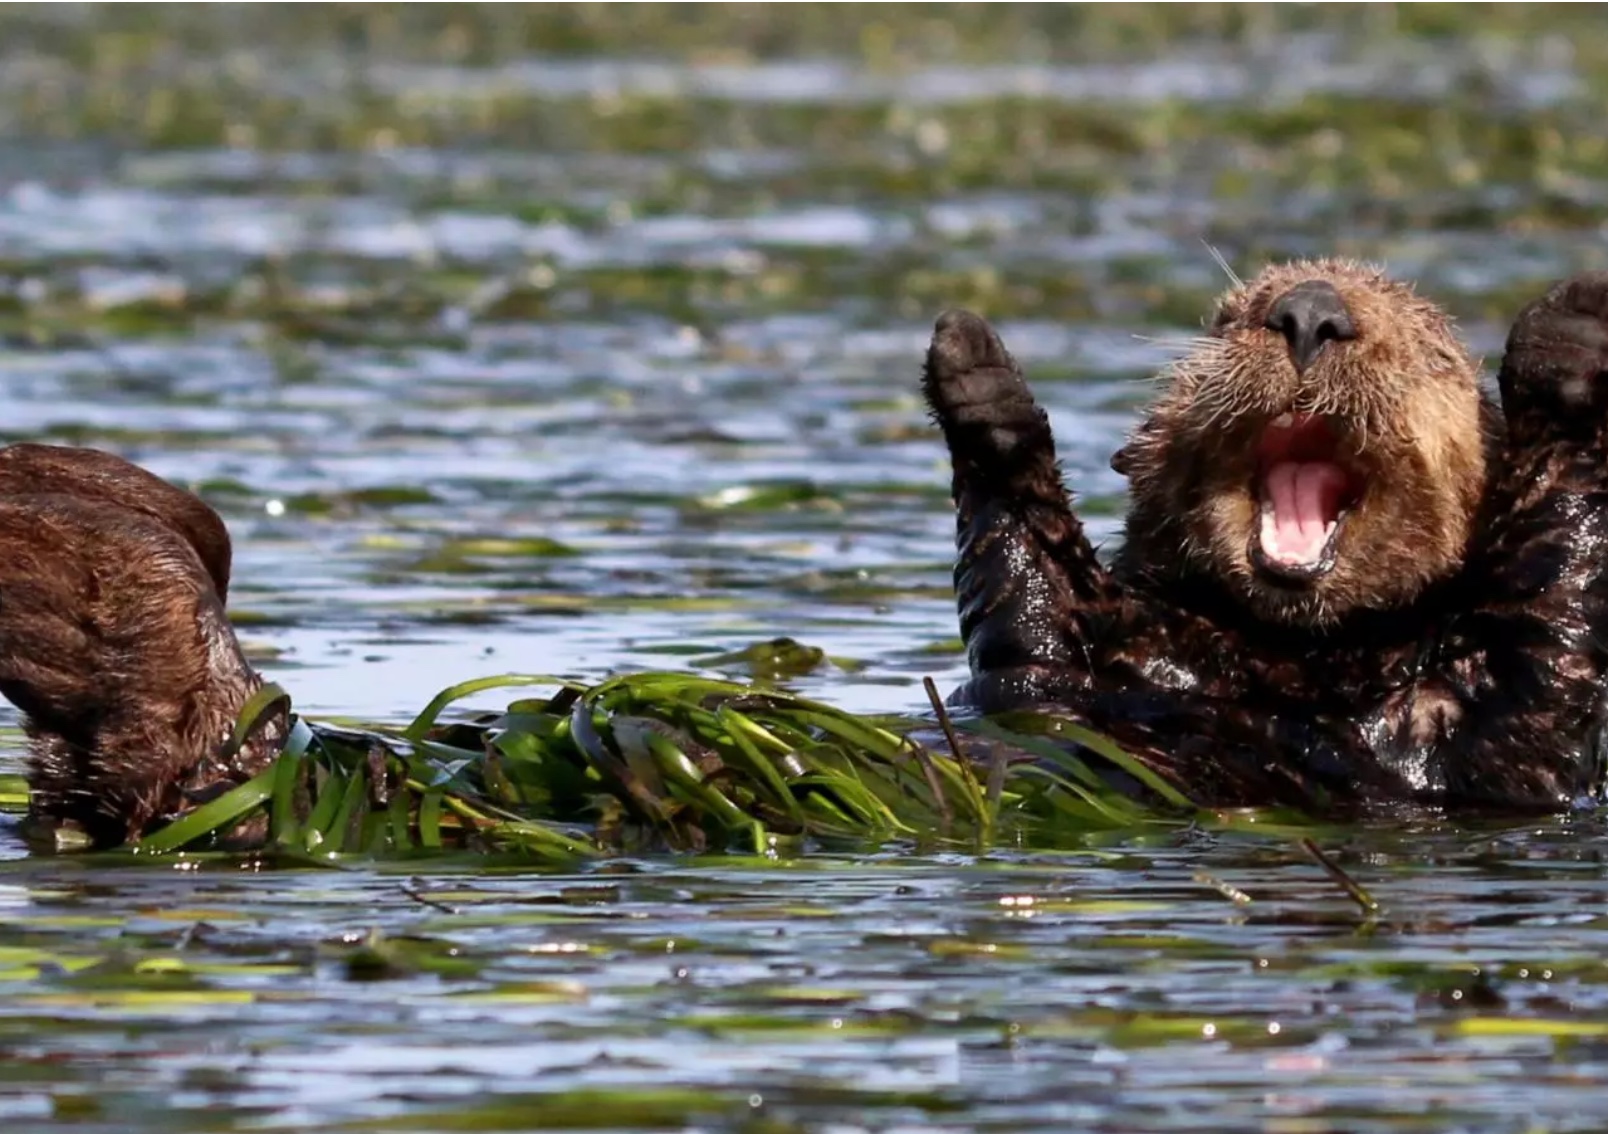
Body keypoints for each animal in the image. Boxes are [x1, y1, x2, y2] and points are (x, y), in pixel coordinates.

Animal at [926, 263, 1608, 813]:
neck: (1294, 661)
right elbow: (1031, 604)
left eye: (1430, 350)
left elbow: (1551, 639)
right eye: (1229, 318)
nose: (1310, 312)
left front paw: (1570, 333)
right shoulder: (1068, 660)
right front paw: (976, 368)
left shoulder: (1487, 735)